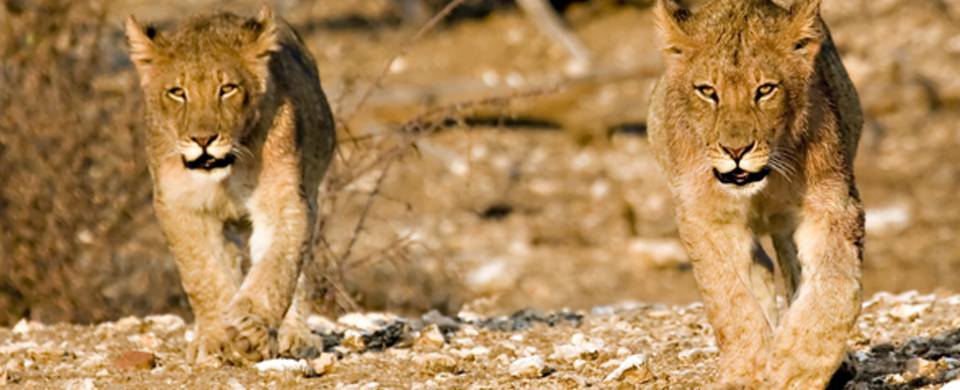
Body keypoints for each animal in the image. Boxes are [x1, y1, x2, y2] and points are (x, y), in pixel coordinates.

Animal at [124, 6, 336, 366]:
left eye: (227, 89)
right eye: (177, 92)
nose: (203, 139)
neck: (227, 172)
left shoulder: (284, 200)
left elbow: (277, 267)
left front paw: (251, 329)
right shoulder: (180, 206)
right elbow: (203, 274)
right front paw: (215, 339)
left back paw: (296, 336)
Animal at [648, 0, 868, 386]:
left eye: (765, 89)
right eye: (707, 91)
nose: (736, 150)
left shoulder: (834, 206)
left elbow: (836, 291)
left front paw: (794, 369)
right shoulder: (706, 216)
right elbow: (730, 301)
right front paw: (747, 373)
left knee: (793, 269)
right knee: (760, 268)